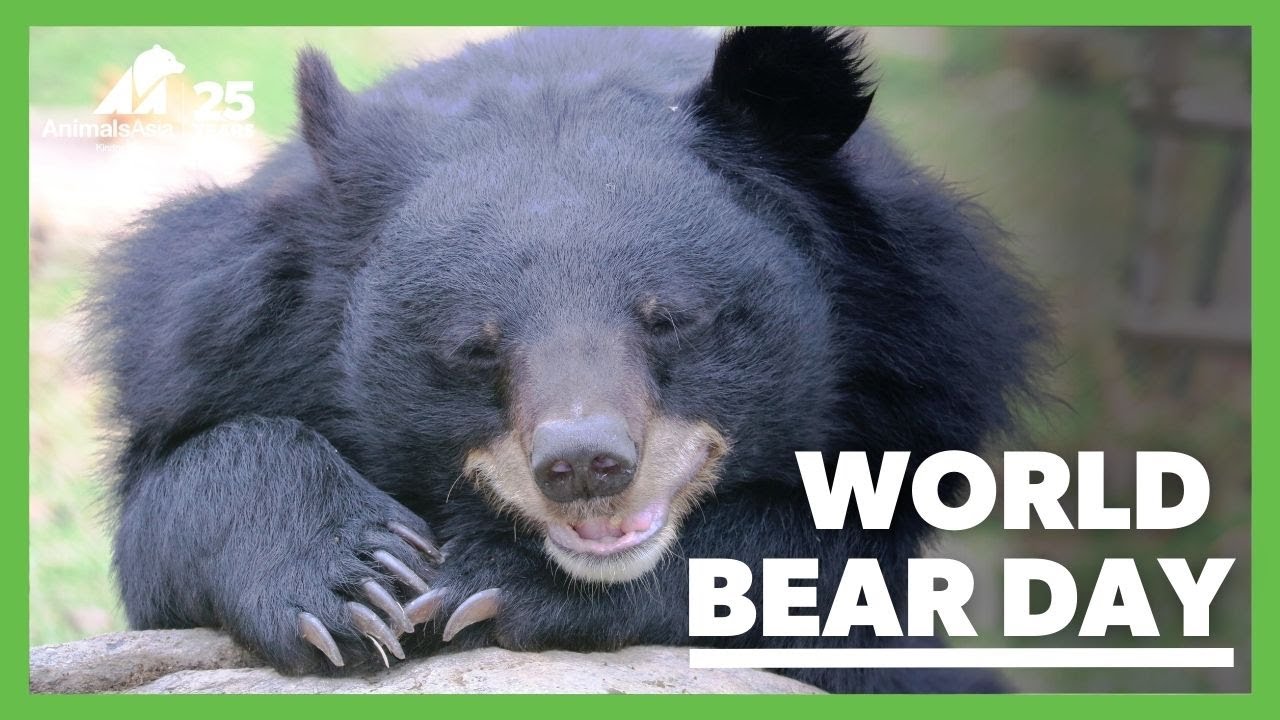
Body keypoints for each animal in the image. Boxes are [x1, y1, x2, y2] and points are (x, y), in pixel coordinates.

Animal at [88, 27, 1044, 693]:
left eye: (669, 319)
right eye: (475, 346)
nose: (584, 464)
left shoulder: (922, 364)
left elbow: (826, 578)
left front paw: (486, 580)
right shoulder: (207, 337)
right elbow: (173, 503)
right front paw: (365, 585)